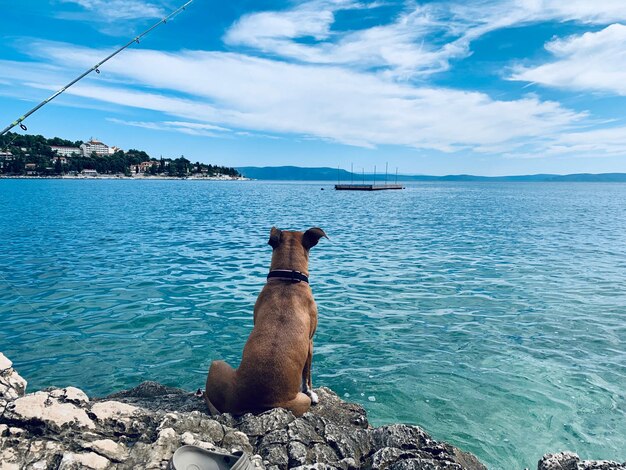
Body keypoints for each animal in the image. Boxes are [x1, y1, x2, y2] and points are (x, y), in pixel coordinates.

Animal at [206, 227, 326, 414]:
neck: (287, 279)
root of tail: (257, 403)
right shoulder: (310, 343)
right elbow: (307, 375)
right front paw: (312, 392)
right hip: (217, 363)